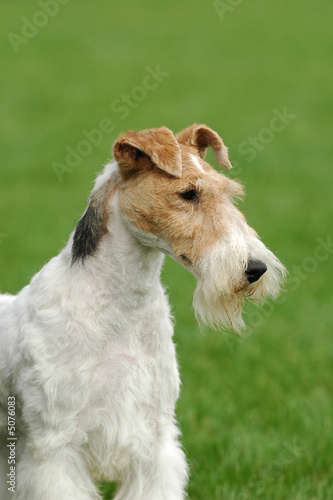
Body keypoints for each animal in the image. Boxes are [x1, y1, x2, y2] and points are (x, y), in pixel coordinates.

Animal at [0, 123, 286, 498]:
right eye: (188, 194)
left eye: (229, 193)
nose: (255, 269)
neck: (122, 306)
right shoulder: (54, 447)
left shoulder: (154, 439)